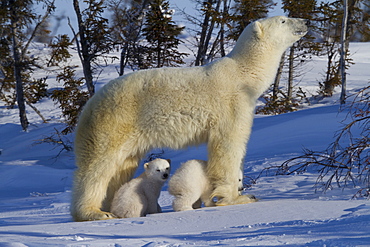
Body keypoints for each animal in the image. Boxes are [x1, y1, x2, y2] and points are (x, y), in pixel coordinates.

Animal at [71, 15, 308, 222]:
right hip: (113, 122)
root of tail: (89, 104)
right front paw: (239, 197)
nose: (305, 22)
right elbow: (228, 146)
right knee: (98, 168)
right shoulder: (232, 105)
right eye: (283, 20)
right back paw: (94, 212)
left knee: (121, 168)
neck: (243, 75)